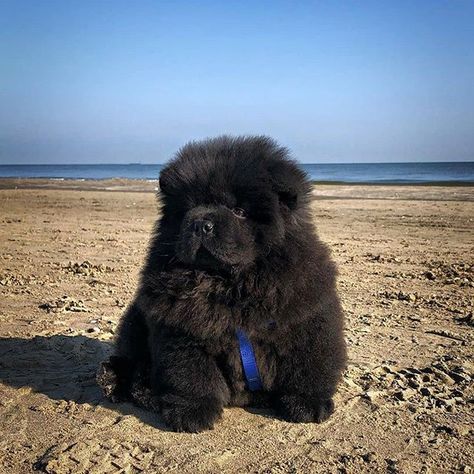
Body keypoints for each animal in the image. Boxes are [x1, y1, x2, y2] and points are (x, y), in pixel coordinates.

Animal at [97, 135, 348, 432]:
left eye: (238, 211)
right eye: (188, 209)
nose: (201, 223)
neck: (230, 283)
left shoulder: (307, 316)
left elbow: (309, 365)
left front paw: (307, 404)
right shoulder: (182, 329)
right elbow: (192, 373)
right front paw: (193, 413)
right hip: (136, 319)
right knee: (132, 358)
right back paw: (115, 380)